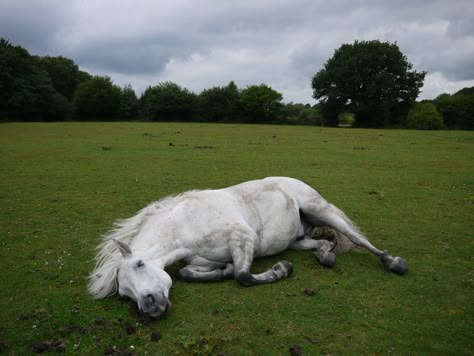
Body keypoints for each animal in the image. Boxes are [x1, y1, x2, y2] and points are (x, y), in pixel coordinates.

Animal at [90, 177, 408, 318]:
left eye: (140, 264)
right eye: (124, 294)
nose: (150, 307)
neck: (186, 224)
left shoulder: (243, 239)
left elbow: (243, 276)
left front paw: (280, 270)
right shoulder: (200, 261)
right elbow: (186, 273)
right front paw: (224, 270)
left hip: (321, 210)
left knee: (357, 238)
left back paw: (393, 262)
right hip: (299, 239)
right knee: (325, 242)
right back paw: (325, 256)